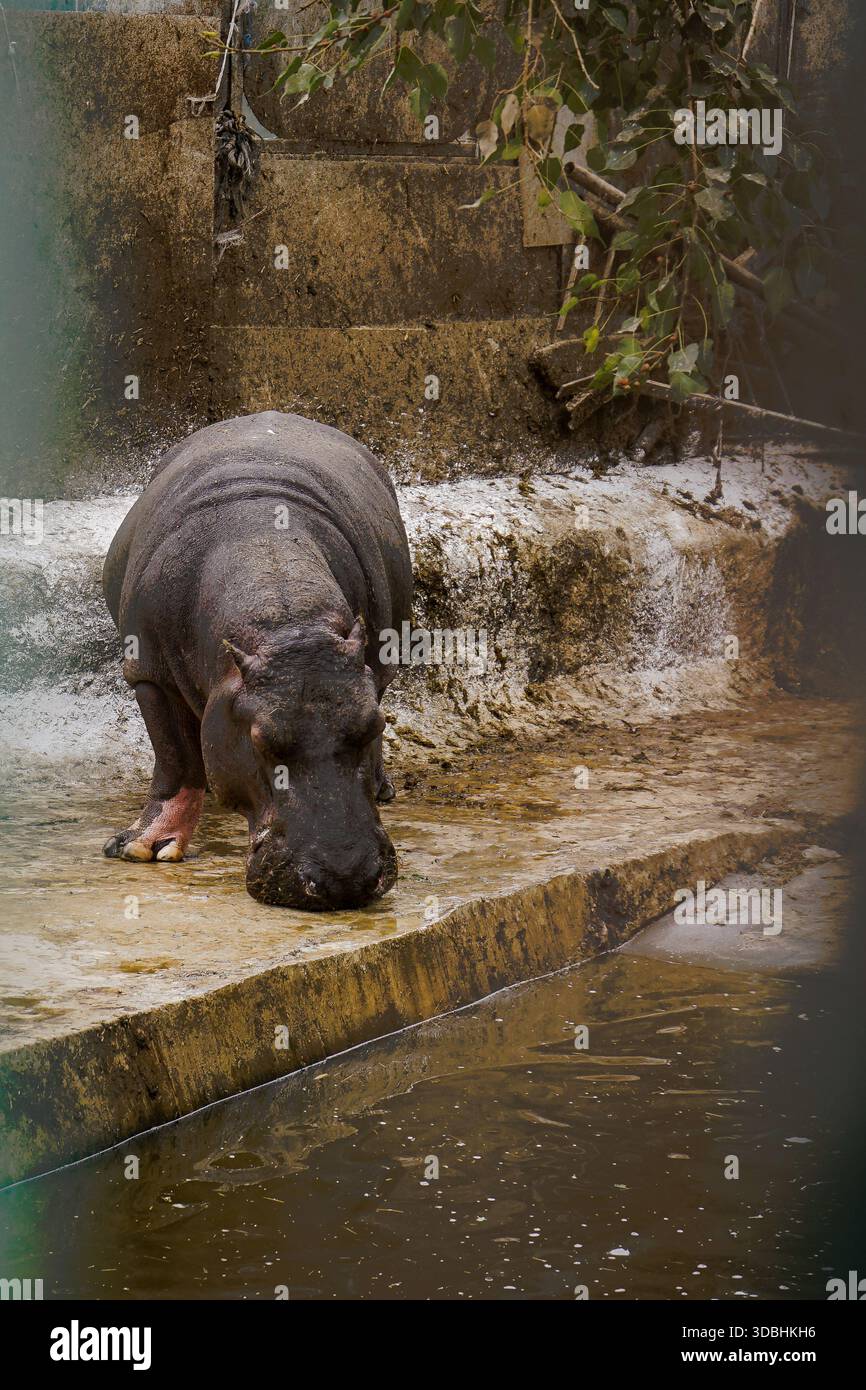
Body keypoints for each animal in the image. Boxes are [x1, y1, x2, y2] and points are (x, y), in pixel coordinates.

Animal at [101, 411, 413, 910]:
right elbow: (174, 758)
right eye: (261, 740)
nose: (343, 878)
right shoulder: (148, 674)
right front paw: (141, 847)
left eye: (374, 726)